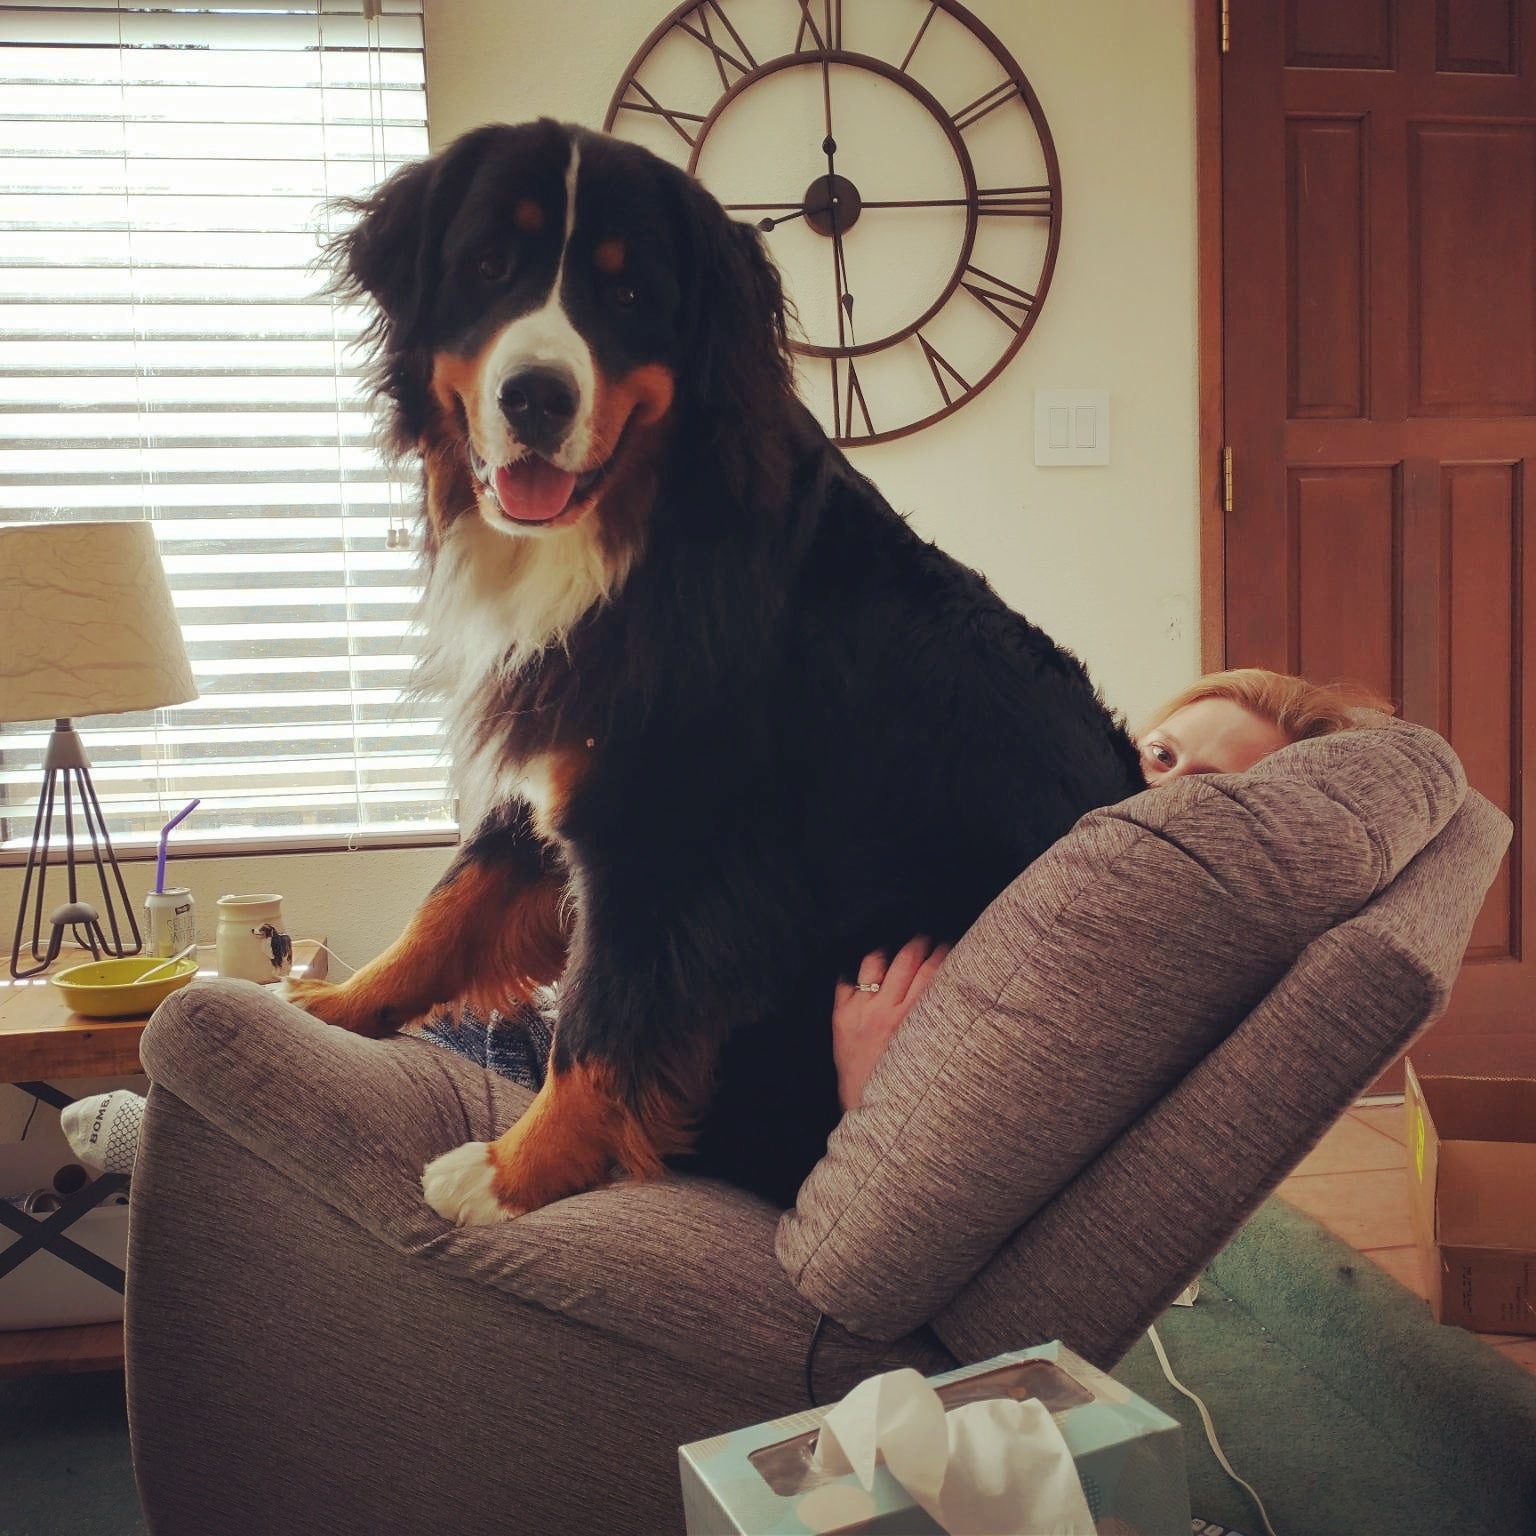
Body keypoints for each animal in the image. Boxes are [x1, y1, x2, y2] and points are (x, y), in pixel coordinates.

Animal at [282, 116, 1148, 1222]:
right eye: (486, 266)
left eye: (627, 297)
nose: (535, 396)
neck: (636, 531)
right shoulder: (555, 755)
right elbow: (448, 908)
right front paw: (335, 1002)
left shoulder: (672, 827)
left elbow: (604, 1017)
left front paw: (513, 1174)